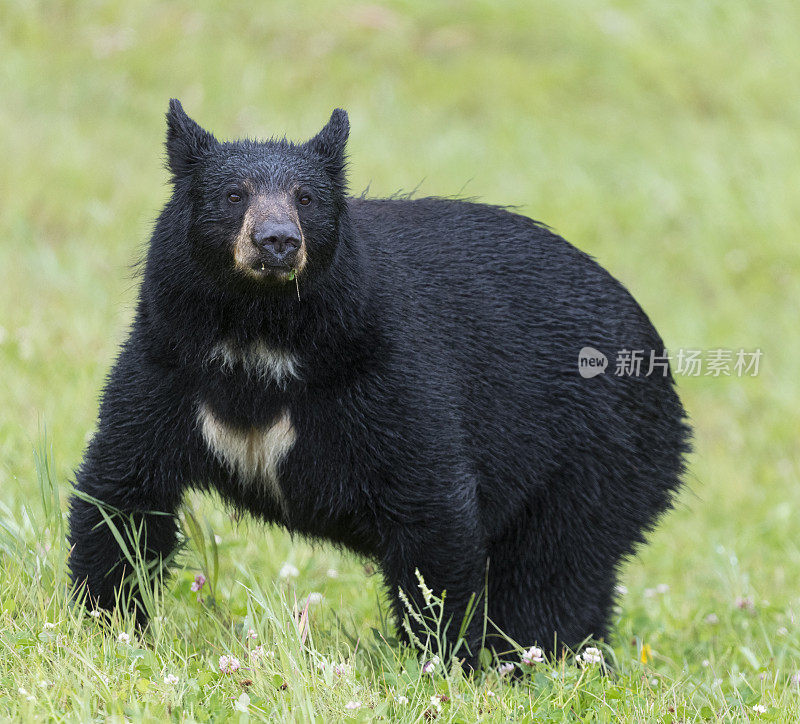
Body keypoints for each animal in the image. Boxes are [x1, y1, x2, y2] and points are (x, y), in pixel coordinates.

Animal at [69, 102, 692, 668]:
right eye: (233, 195)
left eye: (306, 198)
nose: (277, 241)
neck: (259, 333)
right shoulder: (168, 360)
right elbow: (124, 487)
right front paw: (106, 621)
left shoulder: (384, 369)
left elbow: (428, 505)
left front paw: (445, 654)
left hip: (595, 452)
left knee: (554, 570)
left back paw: (543, 657)